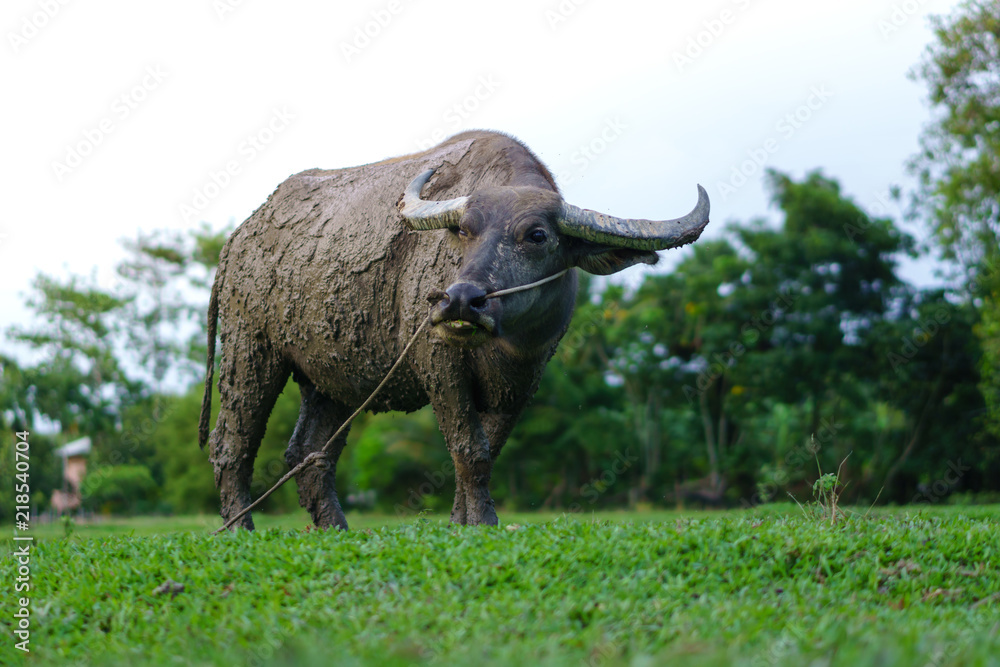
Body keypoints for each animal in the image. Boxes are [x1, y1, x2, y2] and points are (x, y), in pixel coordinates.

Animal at [199, 130, 709, 529]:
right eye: (463, 230)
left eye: (537, 235)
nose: (460, 300)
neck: (503, 346)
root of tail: (238, 240)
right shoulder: (440, 367)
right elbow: (468, 447)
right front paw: (480, 520)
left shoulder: (525, 380)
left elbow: (488, 451)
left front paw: (464, 521)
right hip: (250, 348)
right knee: (232, 441)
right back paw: (241, 526)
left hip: (330, 376)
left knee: (309, 452)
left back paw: (335, 528)